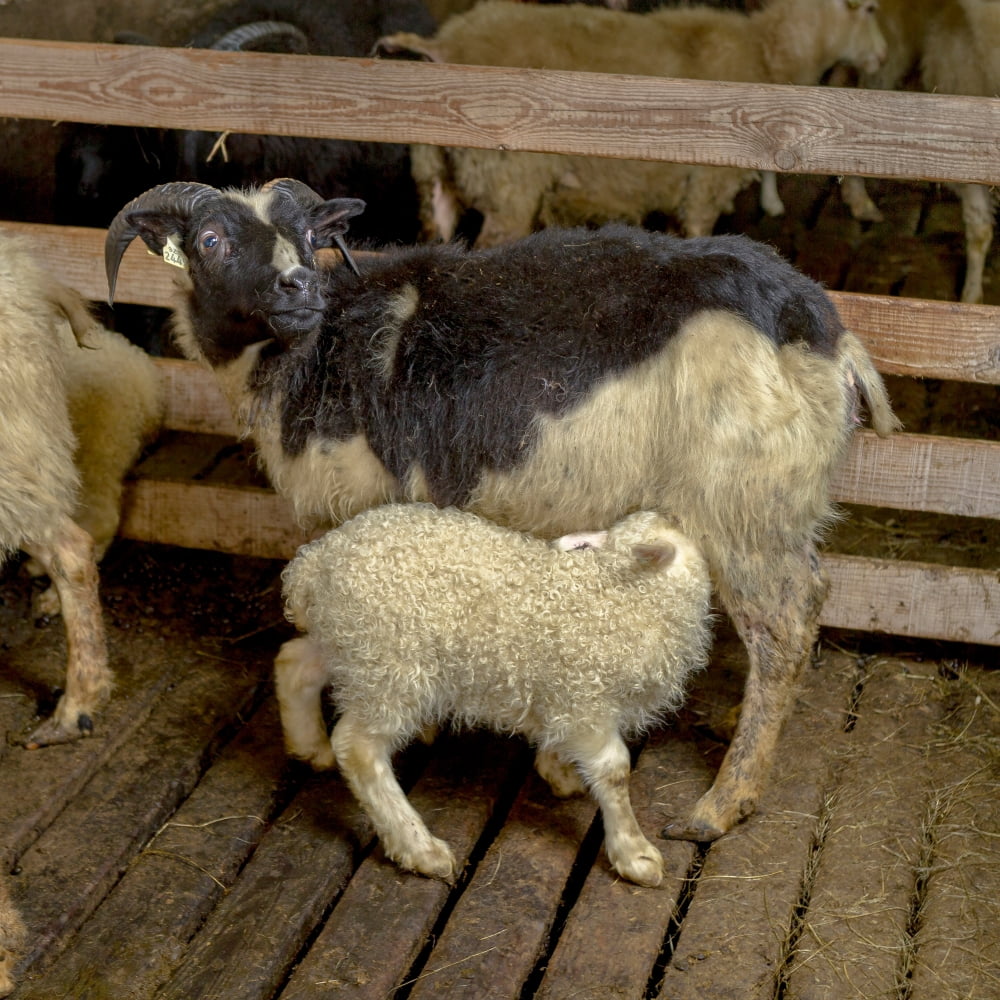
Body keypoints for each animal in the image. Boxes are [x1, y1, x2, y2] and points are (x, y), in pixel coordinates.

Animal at [104, 177, 900, 842]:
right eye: (211, 240)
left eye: (305, 234)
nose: (297, 287)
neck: (312, 348)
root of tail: (824, 333)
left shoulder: (371, 504)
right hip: (780, 504)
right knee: (803, 608)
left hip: (743, 502)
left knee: (784, 624)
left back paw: (723, 802)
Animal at [276, 504, 713, 885]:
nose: (672, 513)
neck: (625, 594)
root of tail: (314, 564)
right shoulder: (586, 701)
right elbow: (615, 771)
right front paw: (635, 854)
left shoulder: (565, 694)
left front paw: (559, 771)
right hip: (392, 669)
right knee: (359, 748)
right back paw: (420, 849)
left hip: (351, 648)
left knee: (294, 664)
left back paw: (309, 746)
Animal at [375, 0, 887, 245]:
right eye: (868, 9)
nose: (880, 58)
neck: (769, 53)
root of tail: (443, 45)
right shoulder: (704, 187)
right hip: (508, 185)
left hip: (435, 177)